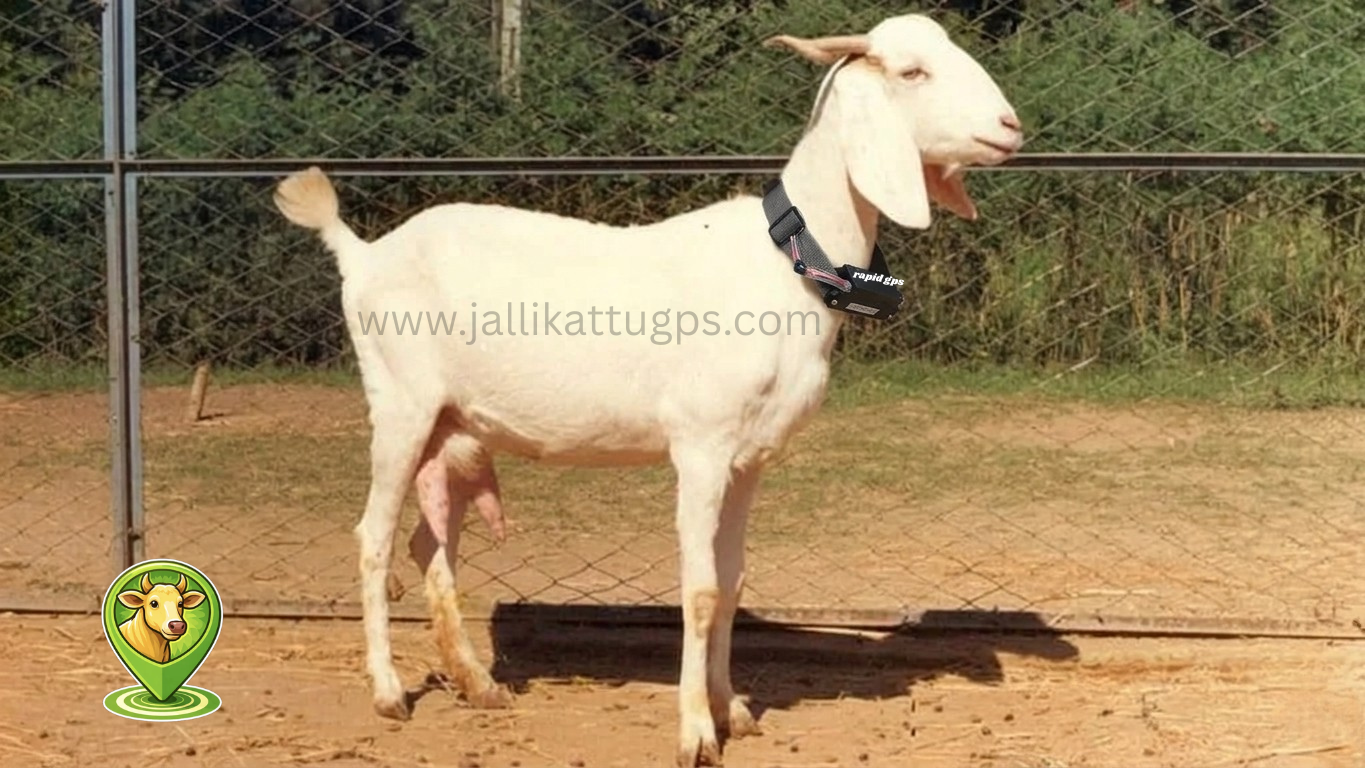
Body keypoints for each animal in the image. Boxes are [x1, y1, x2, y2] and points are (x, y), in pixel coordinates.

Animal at [273, 13, 1021, 767]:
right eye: (911, 72)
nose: (1010, 126)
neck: (786, 262)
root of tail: (362, 254)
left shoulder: (749, 458)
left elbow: (733, 580)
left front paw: (734, 709)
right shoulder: (700, 444)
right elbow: (700, 588)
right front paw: (695, 731)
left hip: (449, 424)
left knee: (430, 546)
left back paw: (479, 683)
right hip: (399, 403)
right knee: (372, 537)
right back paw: (389, 693)